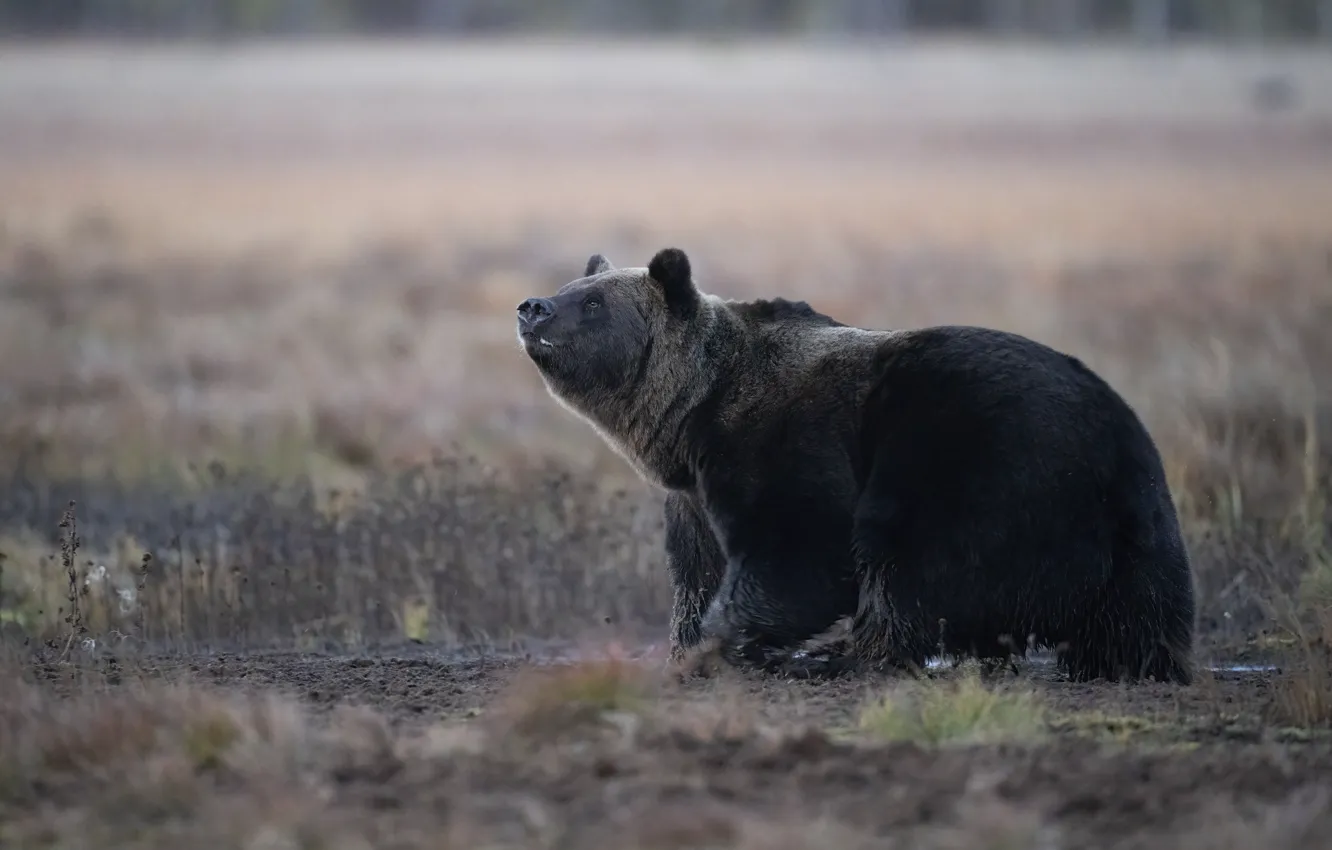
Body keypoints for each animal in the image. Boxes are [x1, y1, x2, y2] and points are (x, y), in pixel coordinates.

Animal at [515, 247, 1197, 684]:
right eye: (571, 288)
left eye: (593, 303)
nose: (533, 307)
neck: (692, 412)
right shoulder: (692, 493)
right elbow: (696, 567)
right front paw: (688, 642)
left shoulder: (780, 445)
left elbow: (801, 551)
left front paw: (724, 641)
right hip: (1134, 515)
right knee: (1137, 610)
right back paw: (1127, 661)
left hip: (972, 464)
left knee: (913, 568)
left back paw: (844, 655)